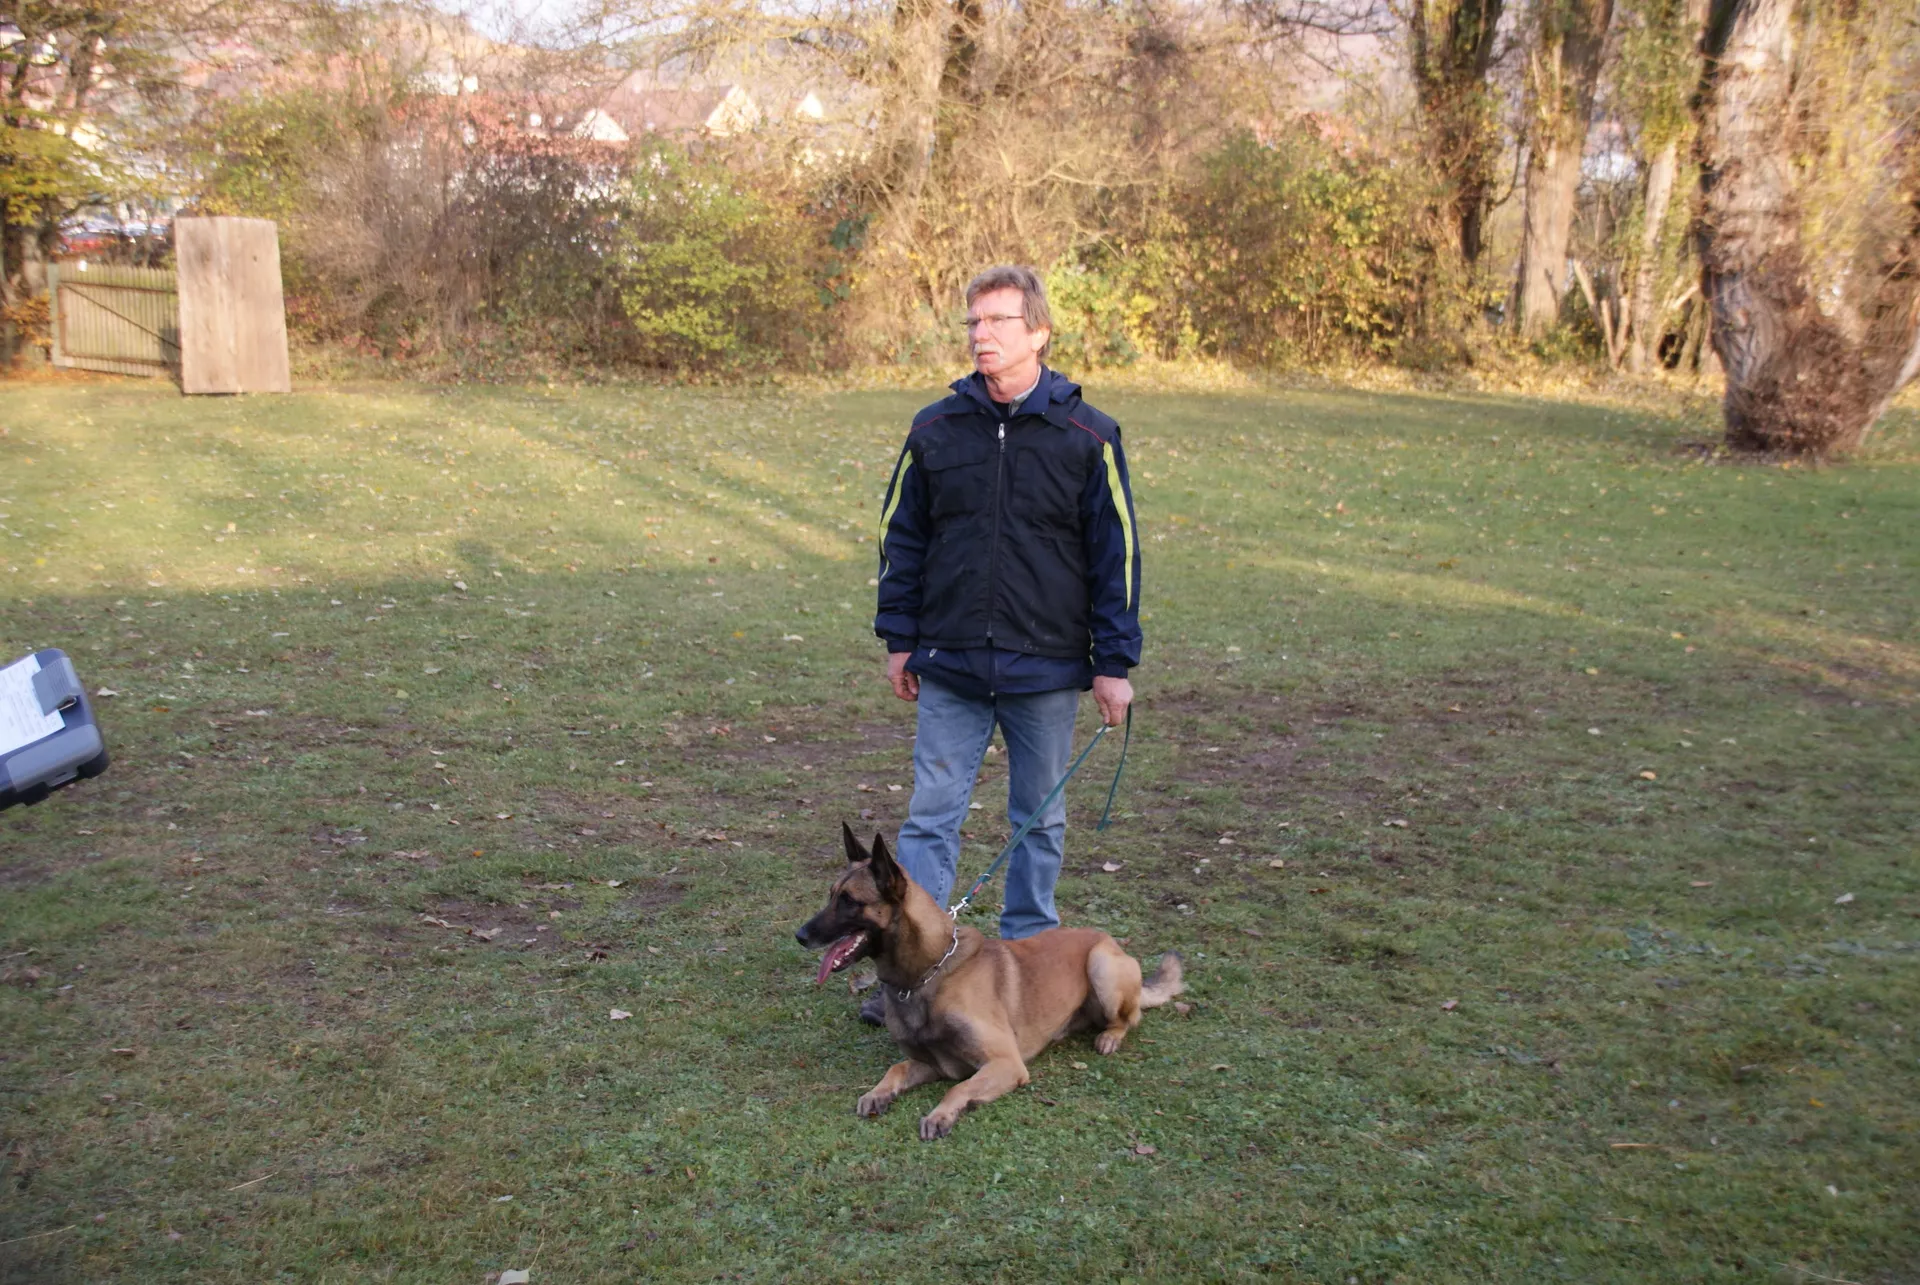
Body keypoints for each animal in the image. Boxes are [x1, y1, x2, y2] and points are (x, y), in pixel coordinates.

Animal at [796, 824, 1185, 1140]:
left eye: (849, 901)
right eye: (831, 895)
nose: (799, 935)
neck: (929, 973)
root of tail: (1108, 940)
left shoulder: (1005, 1064)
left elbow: (957, 1090)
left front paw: (940, 1116)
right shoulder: (931, 1063)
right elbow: (897, 1066)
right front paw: (878, 1093)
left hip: (1101, 967)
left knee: (1130, 1018)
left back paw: (1110, 1036)